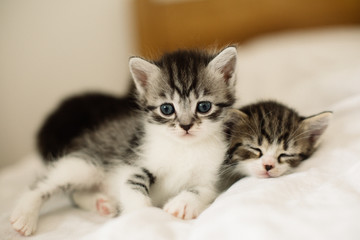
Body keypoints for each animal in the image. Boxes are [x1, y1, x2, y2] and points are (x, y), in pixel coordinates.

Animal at [9, 46, 238, 235]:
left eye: (203, 106)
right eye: (167, 109)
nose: (186, 126)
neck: (184, 147)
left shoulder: (215, 176)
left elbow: (204, 190)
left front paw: (183, 204)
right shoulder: (136, 160)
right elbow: (132, 183)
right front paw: (142, 215)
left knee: (75, 193)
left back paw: (102, 203)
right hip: (88, 163)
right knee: (44, 185)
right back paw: (25, 215)